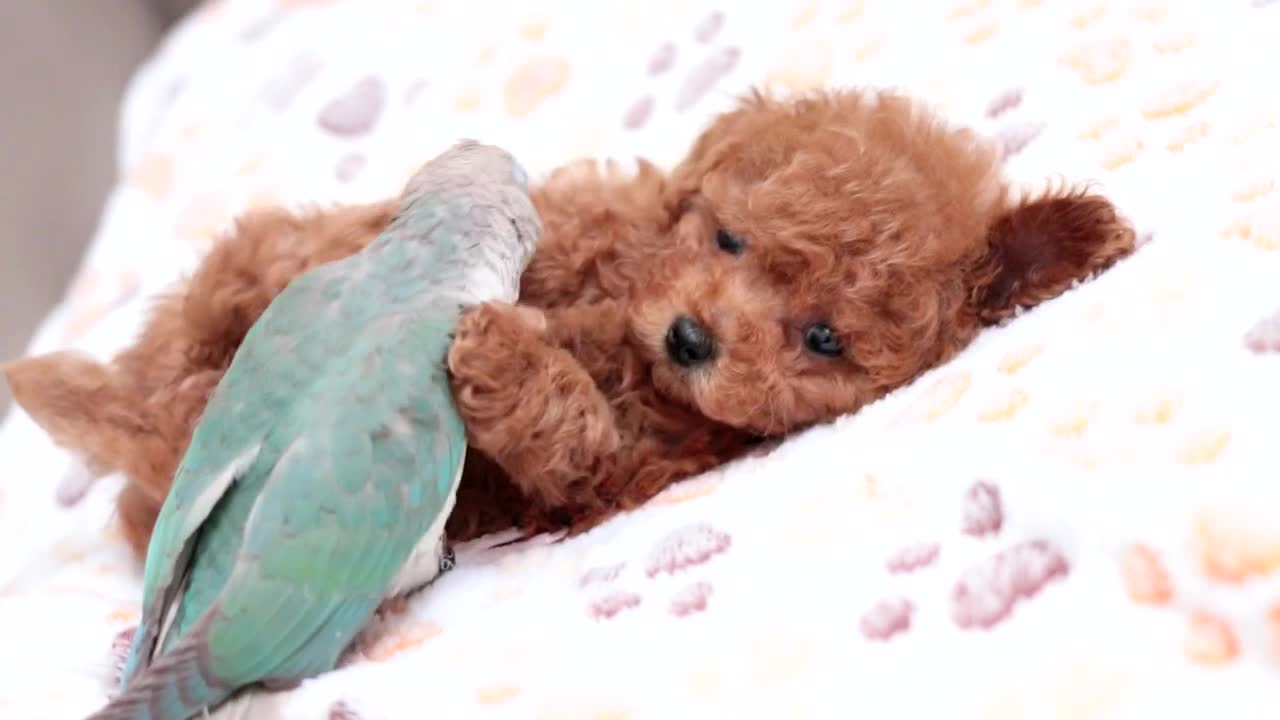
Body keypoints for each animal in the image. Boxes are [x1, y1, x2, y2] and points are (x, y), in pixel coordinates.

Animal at [5, 88, 1136, 561]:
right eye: (726, 238)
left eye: (822, 339)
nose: (692, 339)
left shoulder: (631, 464)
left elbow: (571, 434)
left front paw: (503, 347)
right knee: (199, 318)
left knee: (158, 435)